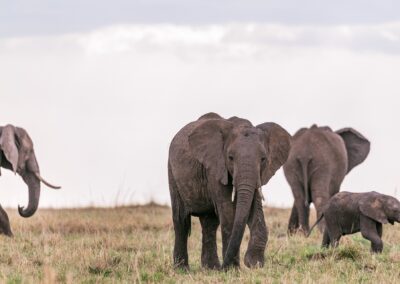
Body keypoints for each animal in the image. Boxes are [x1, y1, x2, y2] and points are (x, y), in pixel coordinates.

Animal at [167, 112, 290, 270]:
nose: (224, 265)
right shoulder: (215, 167)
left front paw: (254, 263)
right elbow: (227, 212)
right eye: (230, 158)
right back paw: (182, 270)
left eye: (263, 159)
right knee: (181, 221)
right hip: (172, 171)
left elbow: (254, 209)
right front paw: (232, 269)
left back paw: (211, 269)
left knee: (209, 223)